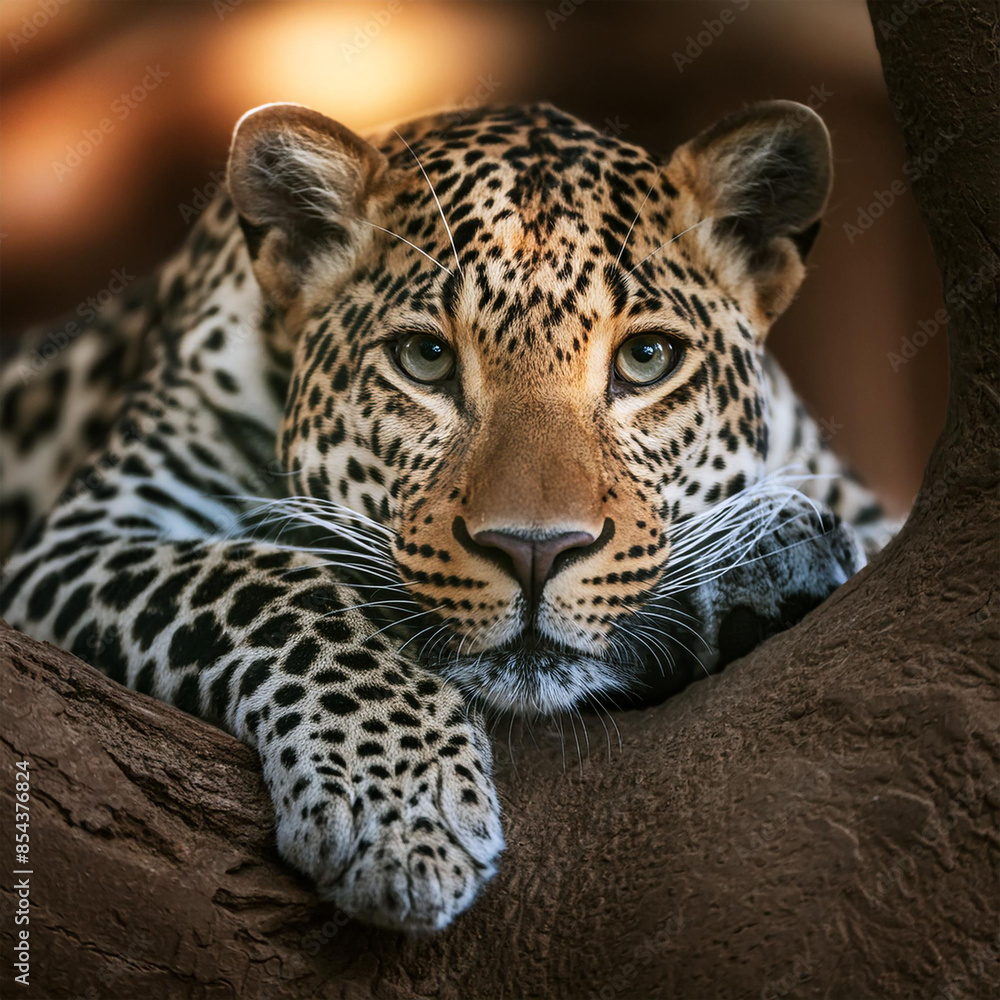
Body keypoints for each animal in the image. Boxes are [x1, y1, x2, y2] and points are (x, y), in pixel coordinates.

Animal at [0, 101, 898, 932]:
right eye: (425, 358)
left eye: (647, 359)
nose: (535, 551)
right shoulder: (81, 539)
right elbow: (270, 577)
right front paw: (402, 809)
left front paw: (775, 546)